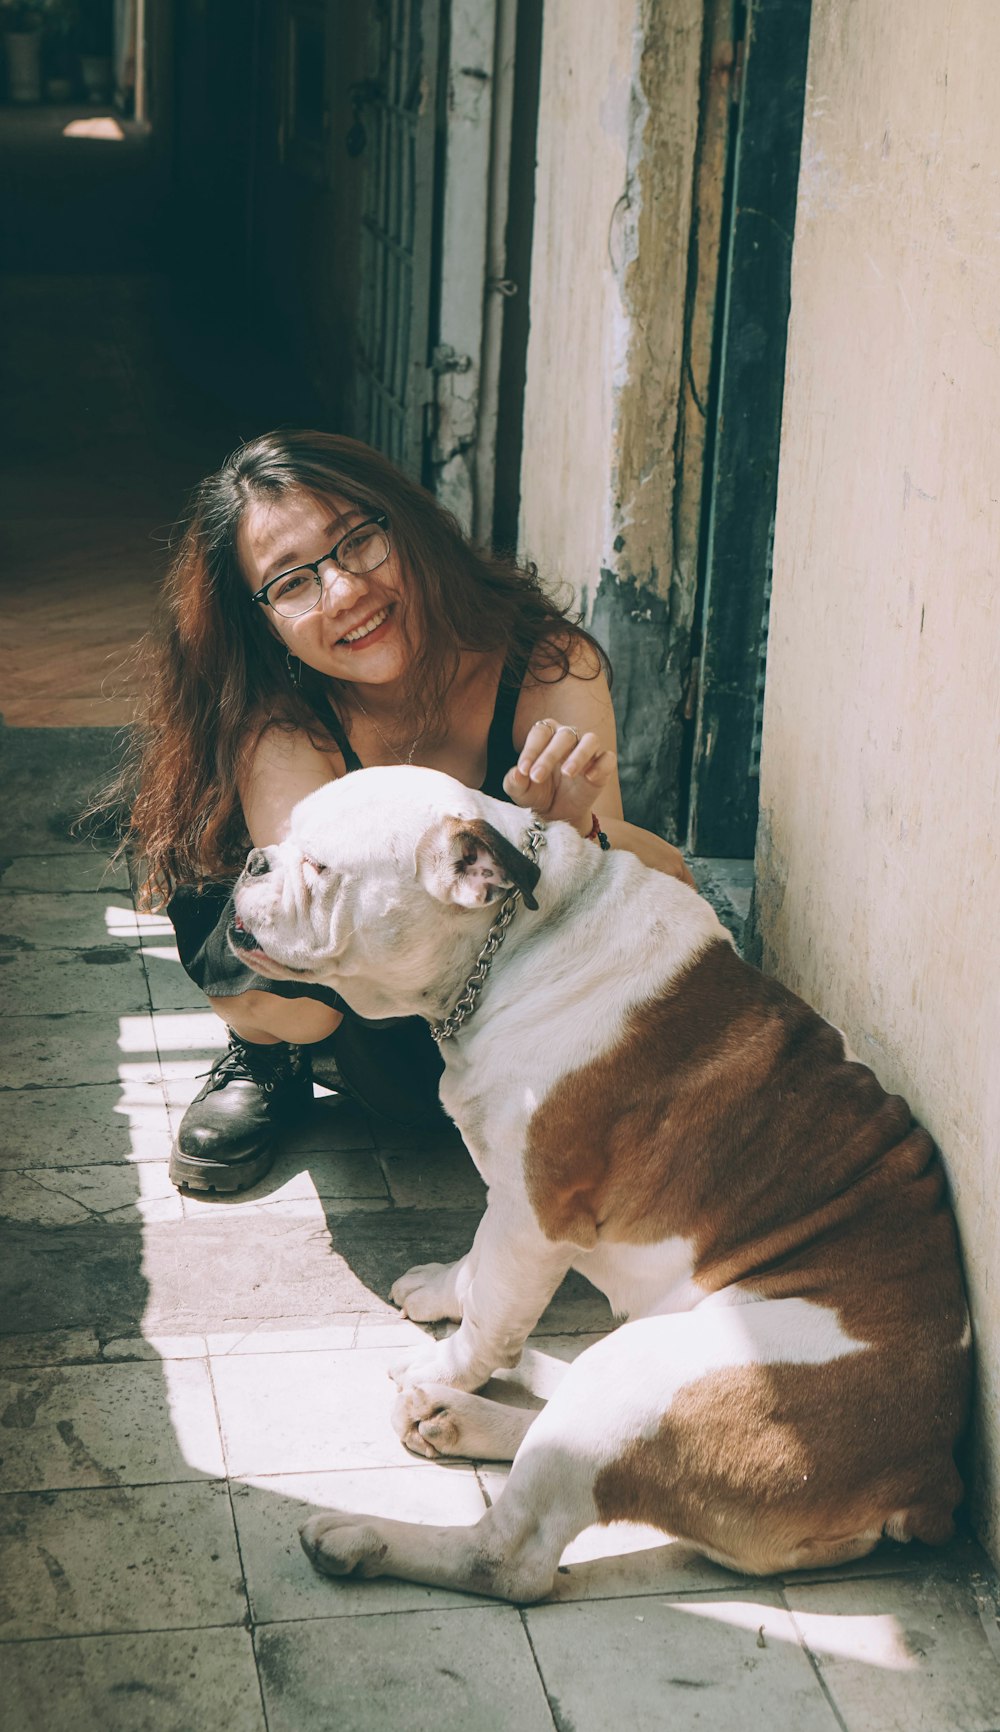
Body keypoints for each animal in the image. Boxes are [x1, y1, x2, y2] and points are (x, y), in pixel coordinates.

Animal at [228, 765, 970, 1600]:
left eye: (320, 867)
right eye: (283, 837)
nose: (253, 859)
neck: (517, 941)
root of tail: (928, 1478)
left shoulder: (535, 1215)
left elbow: (493, 1312)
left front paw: (444, 1360)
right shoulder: (510, 1192)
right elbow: (480, 1268)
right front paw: (444, 1296)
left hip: (651, 1374)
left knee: (509, 1553)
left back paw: (368, 1528)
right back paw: (462, 1411)